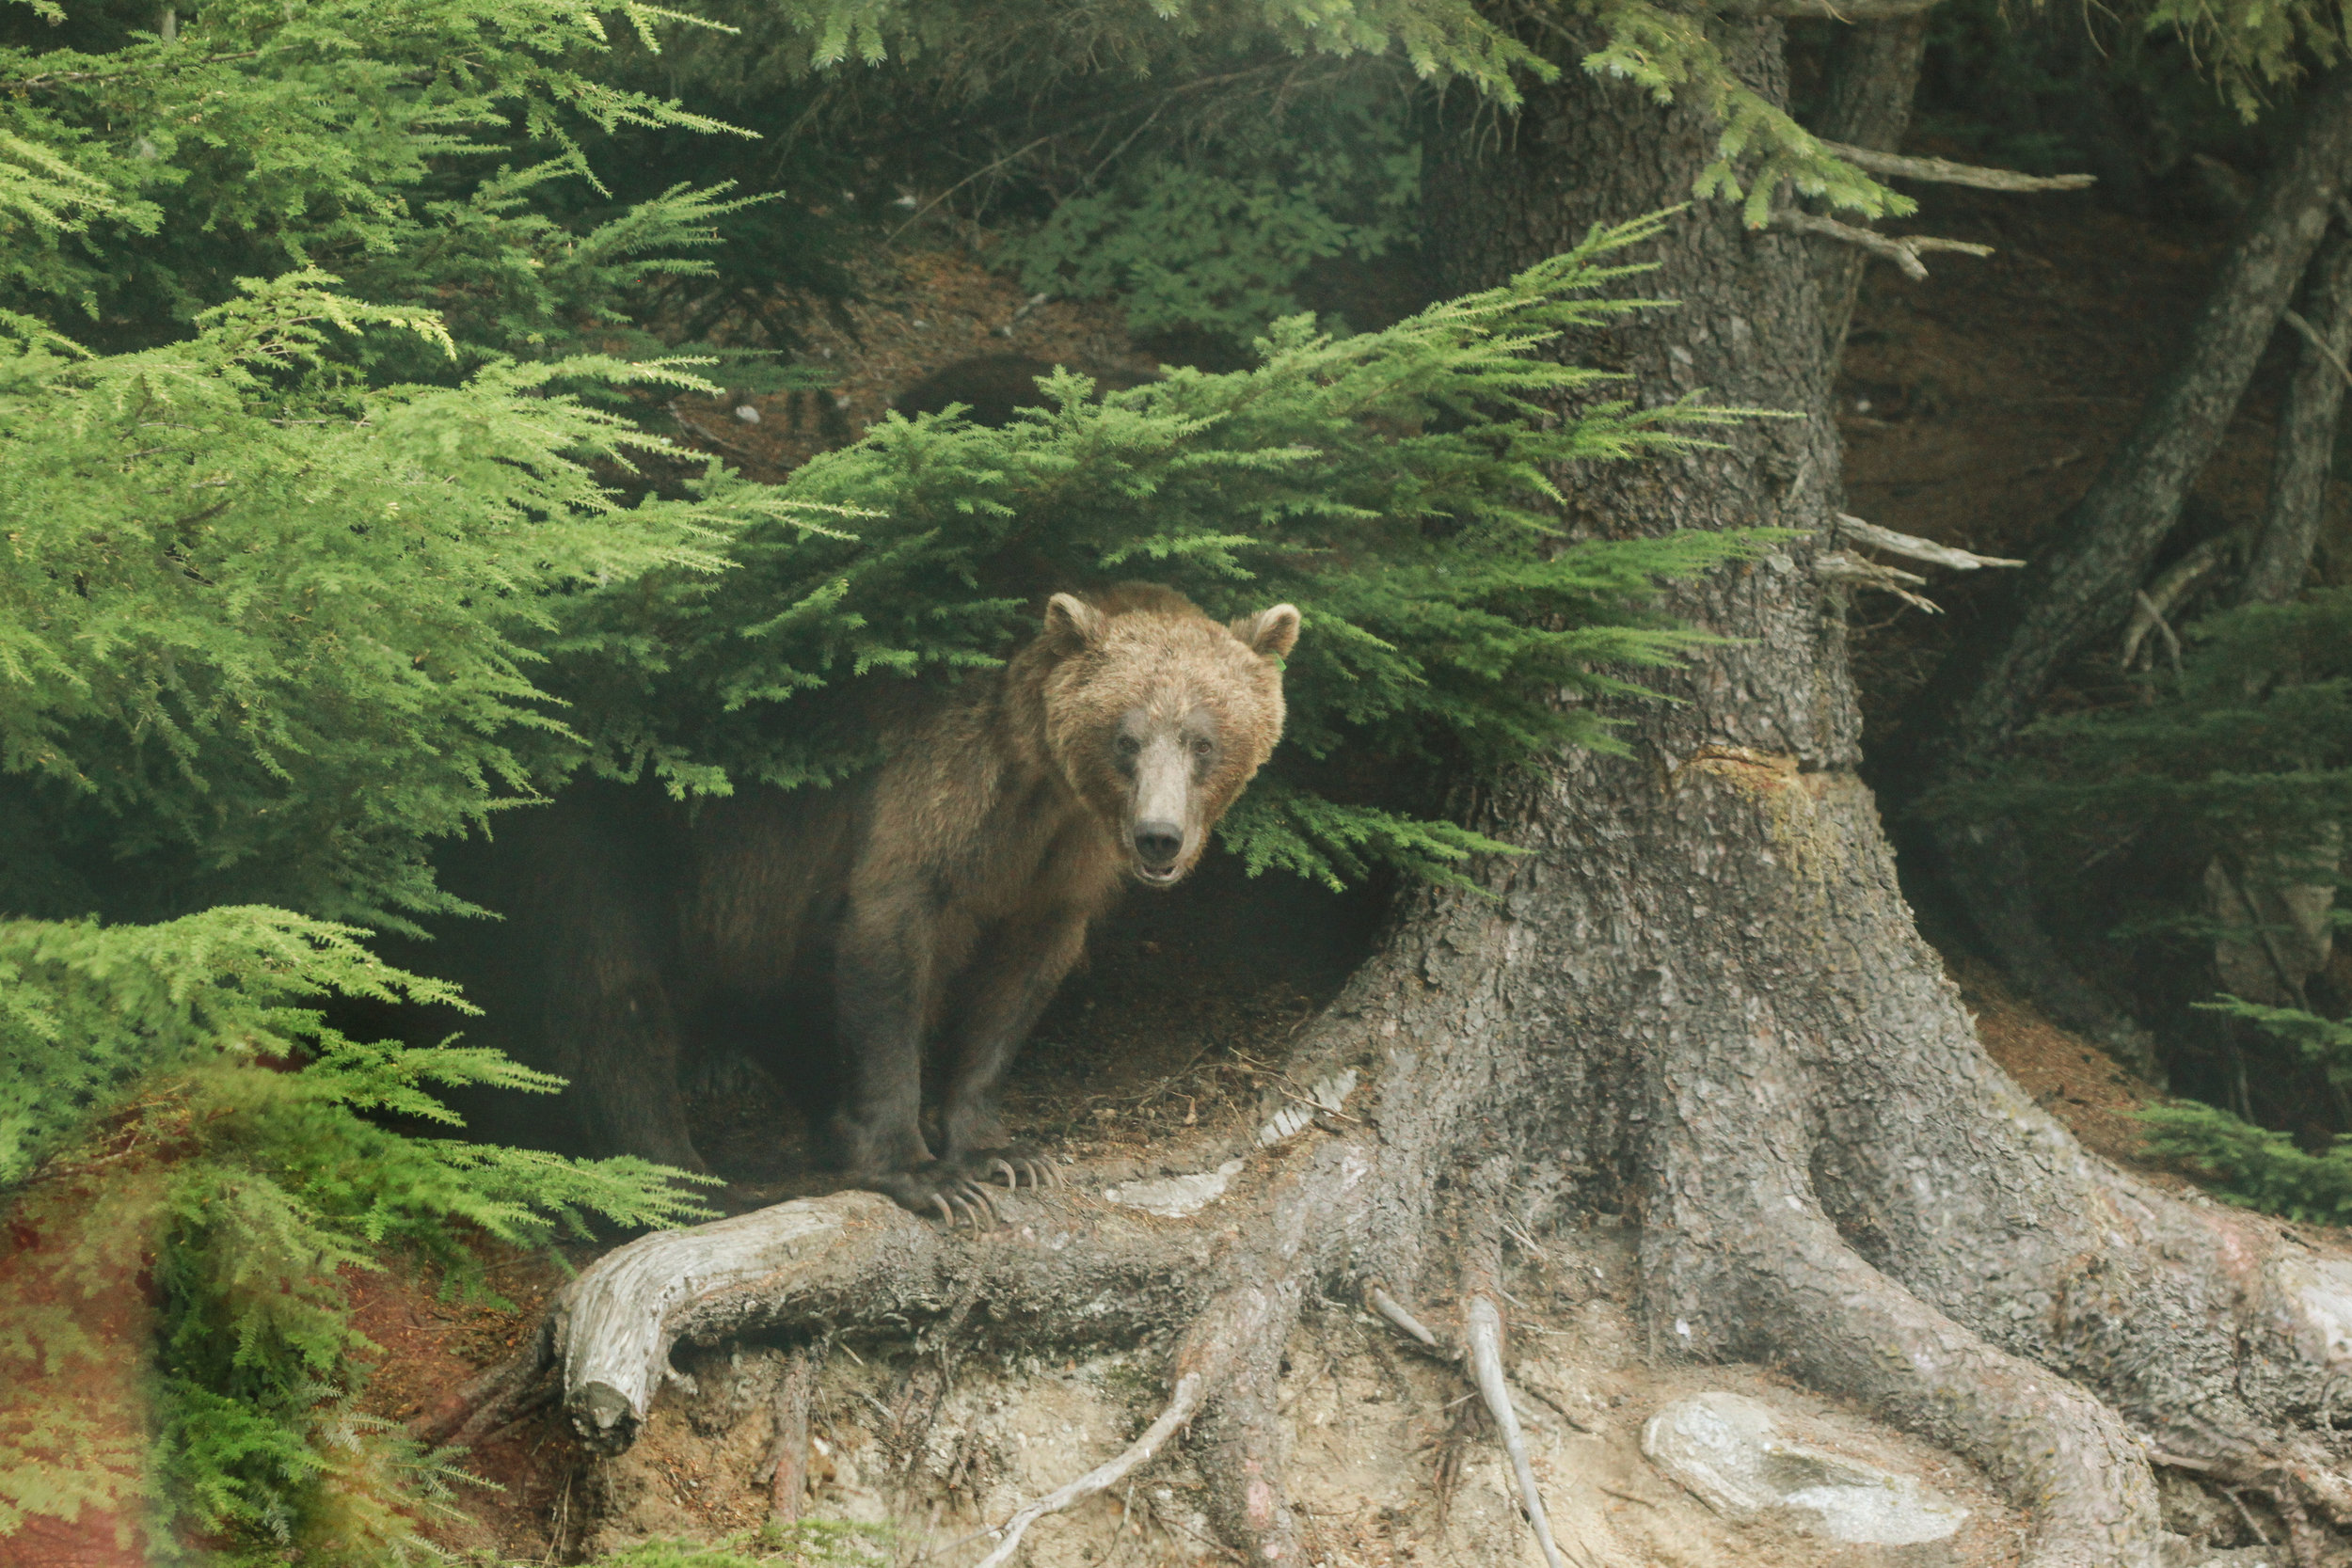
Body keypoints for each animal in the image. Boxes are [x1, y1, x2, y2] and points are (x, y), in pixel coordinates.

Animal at [433, 582, 1298, 1222]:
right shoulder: (926, 812)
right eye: (1126, 736)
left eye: (1203, 740)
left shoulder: (1057, 877)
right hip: (610, 832)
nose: (1158, 838)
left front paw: (1002, 1150)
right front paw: (924, 1172)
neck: (1040, 797)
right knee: (611, 992)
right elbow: (887, 961)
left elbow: (1017, 987)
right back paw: (682, 1176)